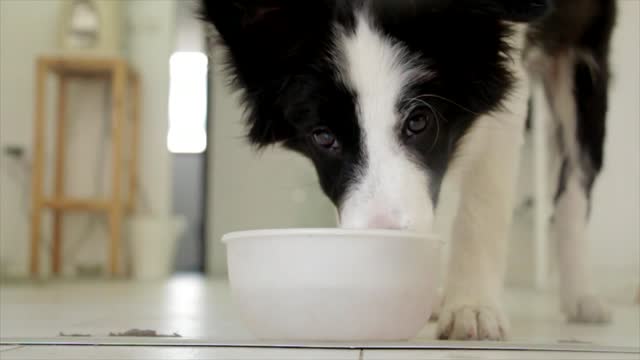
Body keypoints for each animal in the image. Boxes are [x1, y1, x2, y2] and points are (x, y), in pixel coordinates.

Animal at [202, 0, 616, 340]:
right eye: (323, 136)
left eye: (419, 121)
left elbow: (483, 201)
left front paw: (472, 307)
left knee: (575, 180)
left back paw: (581, 296)